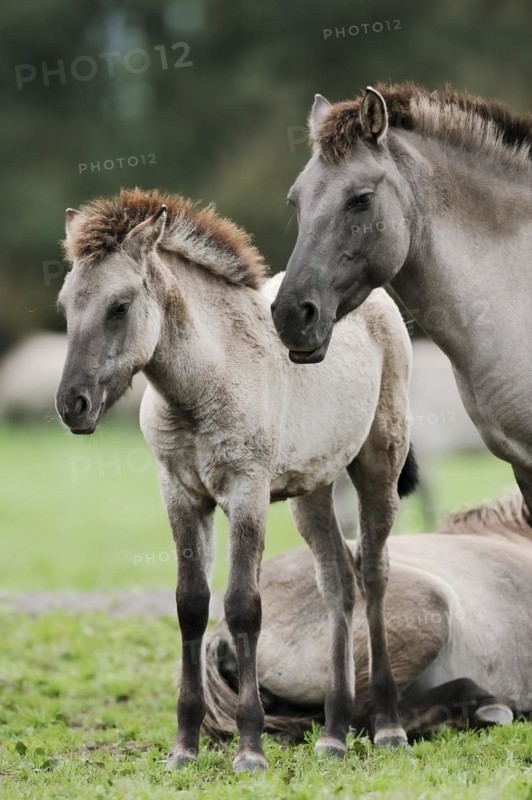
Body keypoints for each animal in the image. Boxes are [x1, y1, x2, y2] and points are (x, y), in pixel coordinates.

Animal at [55, 188, 418, 772]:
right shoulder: (180, 495)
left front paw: (250, 748)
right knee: (338, 583)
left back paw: (387, 726)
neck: (207, 380)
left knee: (375, 574)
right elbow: (190, 604)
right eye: (66, 306)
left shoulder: (246, 492)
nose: (72, 405)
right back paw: (334, 734)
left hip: (378, 467)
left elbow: (244, 607)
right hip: (312, 491)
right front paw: (184, 746)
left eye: (120, 306)